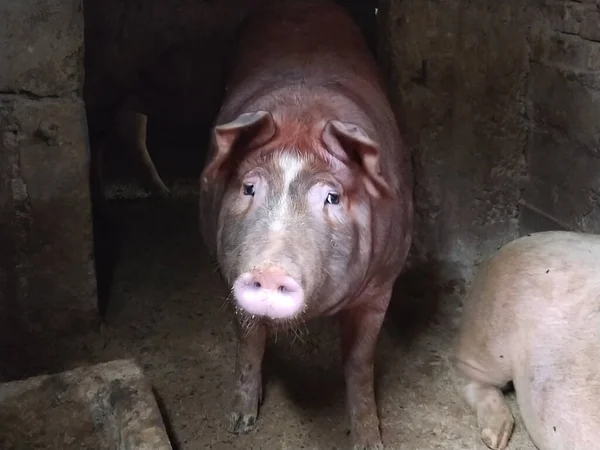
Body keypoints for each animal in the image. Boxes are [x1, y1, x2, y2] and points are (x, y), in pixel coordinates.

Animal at [197, 1, 412, 448]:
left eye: (332, 197)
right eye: (249, 187)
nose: (269, 270)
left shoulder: (383, 283)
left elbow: (360, 362)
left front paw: (370, 441)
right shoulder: (228, 270)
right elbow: (248, 340)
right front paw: (239, 423)